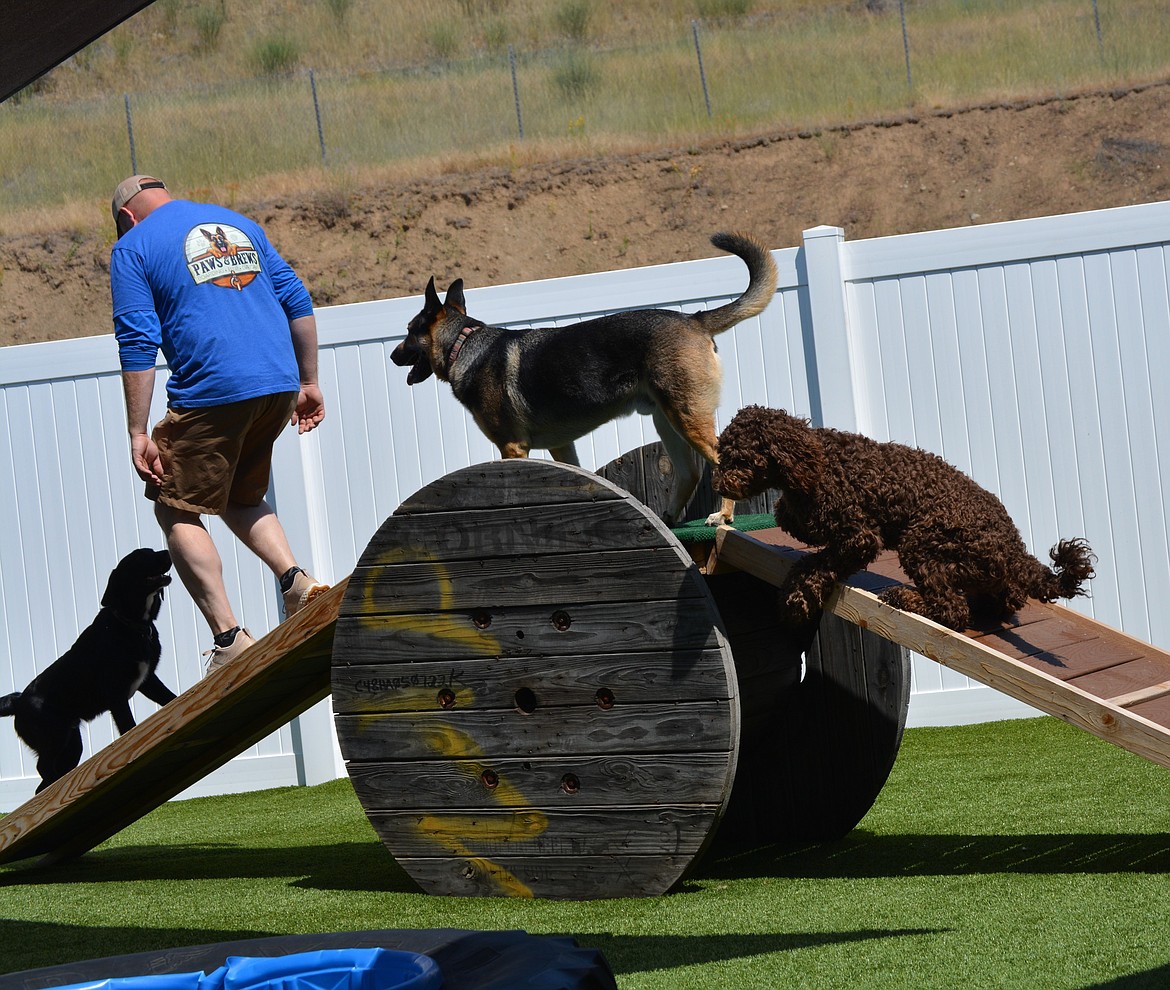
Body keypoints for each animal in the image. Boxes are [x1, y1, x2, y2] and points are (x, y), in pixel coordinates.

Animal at [0, 547, 177, 795]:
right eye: (142, 556)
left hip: (72, 745)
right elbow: (129, 728)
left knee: (43, 781)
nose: (168, 550)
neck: (131, 624)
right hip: (56, 737)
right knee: (43, 767)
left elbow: (170, 698)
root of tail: (17, 701)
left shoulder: (148, 680)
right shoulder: (116, 696)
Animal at [393, 232, 776, 526]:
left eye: (409, 331)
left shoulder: (512, 448)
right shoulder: (562, 447)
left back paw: (723, 516)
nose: (394, 355)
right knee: (689, 474)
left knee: (721, 463)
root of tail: (694, 319)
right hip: (666, 421)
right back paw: (667, 519)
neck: (462, 343)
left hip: (686, 417)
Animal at [711, 407, 1095, 631]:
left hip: (921, 542)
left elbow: (815, 564)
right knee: (1001, 601)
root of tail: (1014, 549)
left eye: (740, 458)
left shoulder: (860, 537)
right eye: (723, 452)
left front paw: (797, 599)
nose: (718, 483)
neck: (819, 463)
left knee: (953, 612)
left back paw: (906, 598)